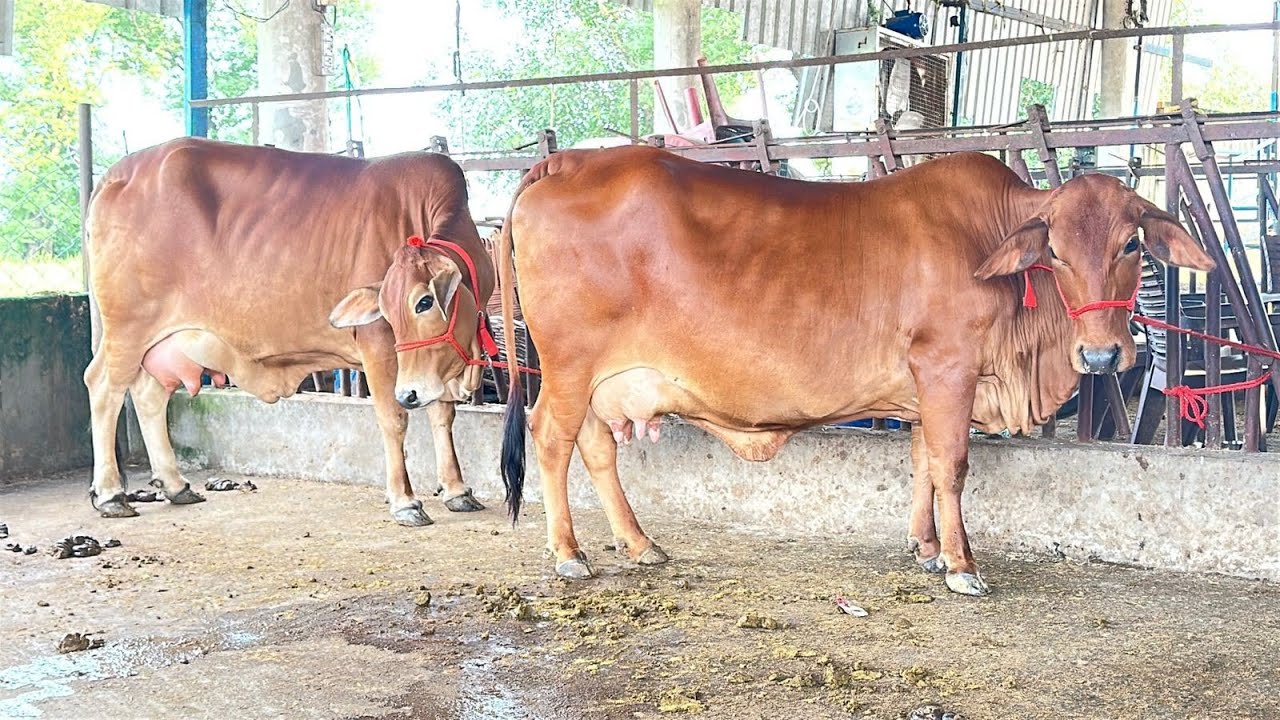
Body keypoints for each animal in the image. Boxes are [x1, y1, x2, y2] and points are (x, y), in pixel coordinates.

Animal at [84, 137, 495, 526]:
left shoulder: (434, 364)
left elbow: (442, 415)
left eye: (424, 303)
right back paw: (111, 494)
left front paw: (457, 489)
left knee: (148, 395)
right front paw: (405, 501)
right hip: (127, 328)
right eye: (388, 313)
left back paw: (175, 484)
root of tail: (117, 173)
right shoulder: (379, 345)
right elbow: (394, 418)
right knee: (104, 387)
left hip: (161, 342)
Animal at [492, 146, 1215, 596]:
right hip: (568, 367)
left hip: (599, 382)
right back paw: (570, 554)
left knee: (595, 449)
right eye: (1057, 252)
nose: (1102, 355)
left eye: (1132, 243)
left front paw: (925, 548)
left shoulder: (924, 385)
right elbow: (952, 464)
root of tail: (569, 159)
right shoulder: (947, 367)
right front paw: (961, 564)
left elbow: (923, 463)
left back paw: (639, 543)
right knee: (551, 440)